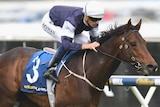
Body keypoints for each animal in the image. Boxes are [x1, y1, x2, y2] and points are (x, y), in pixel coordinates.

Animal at [0, 18, 158, 106]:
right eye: (133, 43)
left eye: (145, 42)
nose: (152, 66)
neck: (88, 73)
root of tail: (4, 55)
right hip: (7, 99)